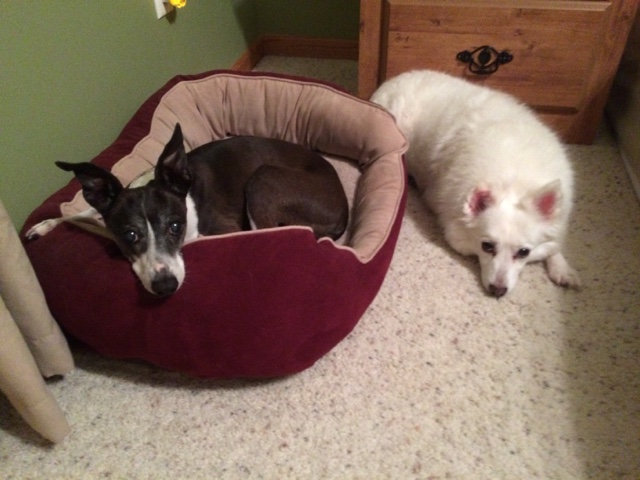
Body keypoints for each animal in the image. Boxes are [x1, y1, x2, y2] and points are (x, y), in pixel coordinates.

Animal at [27, 124, 349, 296]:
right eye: (129, 235)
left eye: (175, 226)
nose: (165, 286)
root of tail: (344, 207)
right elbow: (80, 213)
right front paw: (42, 226)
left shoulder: (225, 228)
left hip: (264, 178)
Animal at [371, 70, 580, 297]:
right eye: (487, 246)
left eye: (524, 252)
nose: (498, 290)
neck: (512, 183)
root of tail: (394, 79)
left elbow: (555, 245)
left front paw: (562, 268)